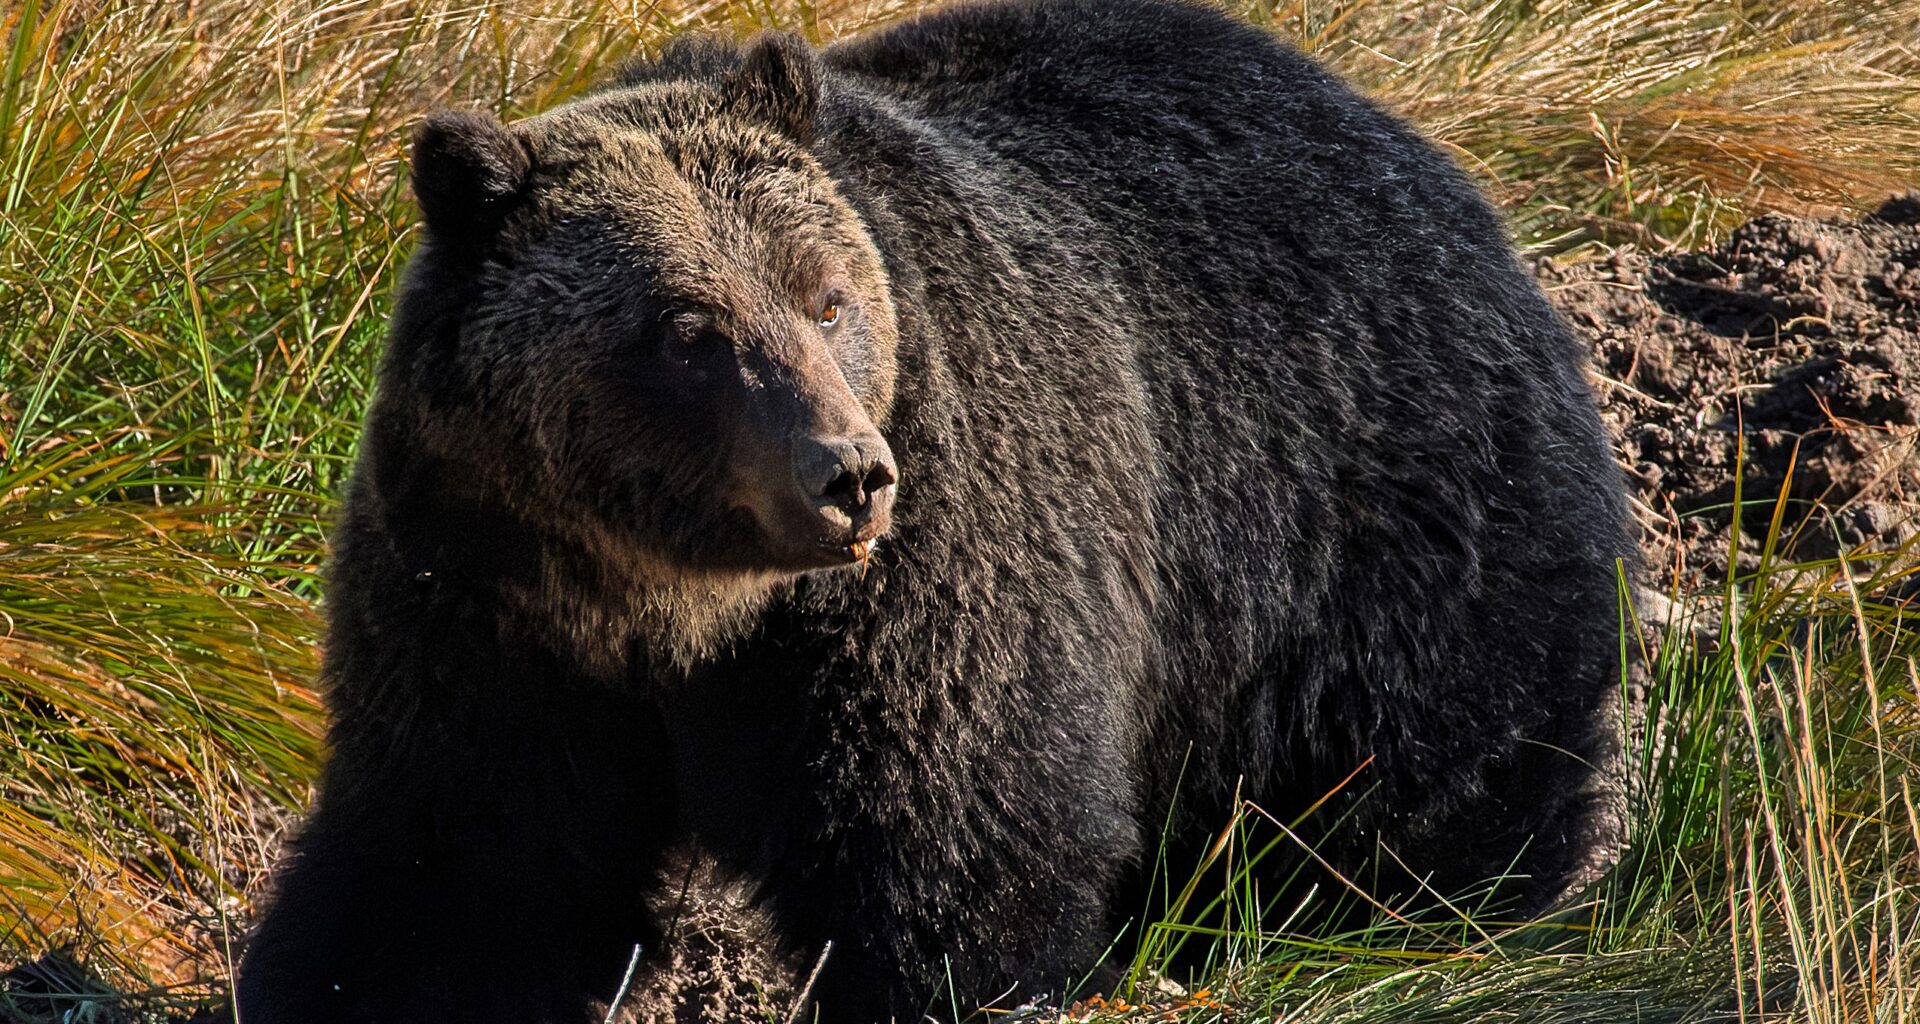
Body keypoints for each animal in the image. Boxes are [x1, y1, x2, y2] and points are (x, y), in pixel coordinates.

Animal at [234, 0, 1633, 1020]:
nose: (846, 473)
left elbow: (951, 830)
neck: (677, 603)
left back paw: (1421, 912)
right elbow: (465, 861)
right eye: (688, 328)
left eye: (827, 296)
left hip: (1375, 528)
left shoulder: (929, 571)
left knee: (1418, 771)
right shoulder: (489, 594)